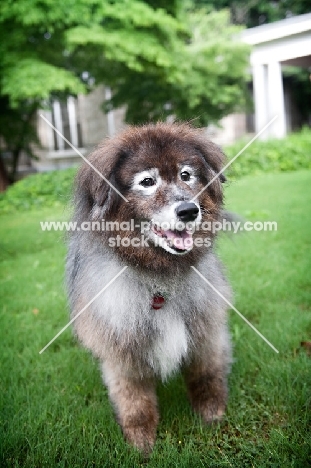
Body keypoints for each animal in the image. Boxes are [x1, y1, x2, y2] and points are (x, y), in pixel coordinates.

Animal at [67, 121, 233, 454]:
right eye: (147, 182)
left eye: (186, 175)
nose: (188, 211)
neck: (158, 277)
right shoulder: (121, 351)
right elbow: (135, 401)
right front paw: (141, 441)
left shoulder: (206, 331)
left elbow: (206, 375)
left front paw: (212, 415)